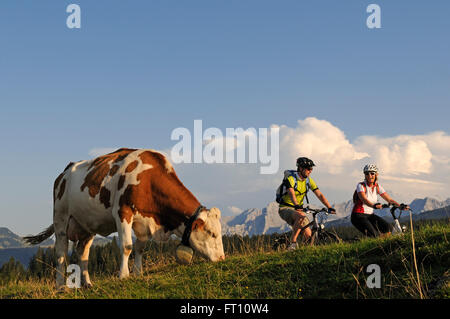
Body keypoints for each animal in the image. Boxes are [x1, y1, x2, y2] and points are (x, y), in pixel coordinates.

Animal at [23, 149, 224, 292]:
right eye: (212, 233)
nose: (222, 258)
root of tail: (64, 173)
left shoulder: (143, 222)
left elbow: (140, 248)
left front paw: (138, 273)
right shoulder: (122, 212)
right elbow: (127, 246)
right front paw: (124, 275)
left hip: (87, 225)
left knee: (83, 253)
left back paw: (87, 283)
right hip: (61, 218)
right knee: (61, 252)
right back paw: (60, 286)